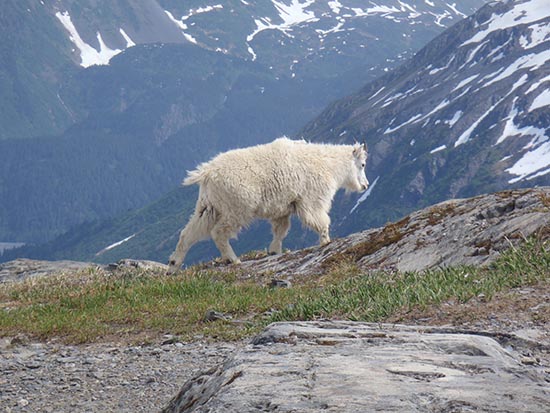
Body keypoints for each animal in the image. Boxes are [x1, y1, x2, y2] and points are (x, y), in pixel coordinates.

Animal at [166, 135, 368, 272]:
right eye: (363, 164)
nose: (365, 185)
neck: (329, 165)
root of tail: (207, 173)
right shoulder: (312, 199)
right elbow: (320, 220)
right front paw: (326, 241)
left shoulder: (283, 209)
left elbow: (280, 230)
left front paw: (274, 251)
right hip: (236, 207)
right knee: (218, 232)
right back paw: (233, 259)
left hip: (209, 207)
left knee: (189, 232)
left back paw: (173, 265)